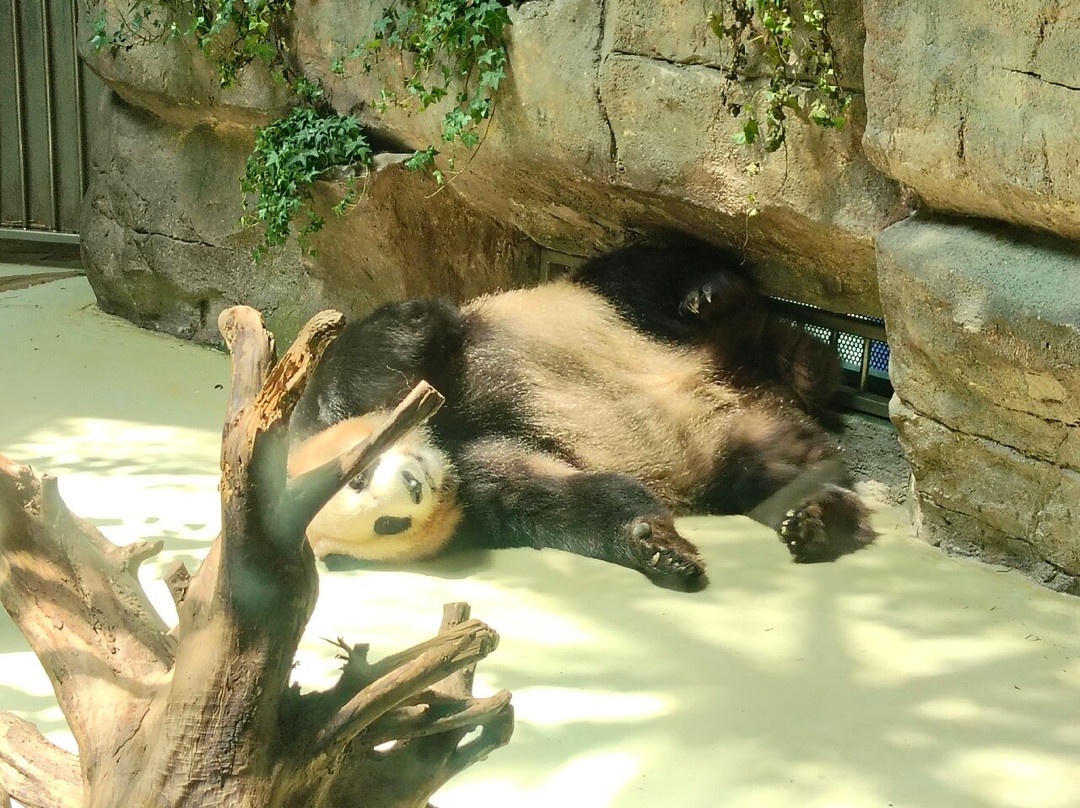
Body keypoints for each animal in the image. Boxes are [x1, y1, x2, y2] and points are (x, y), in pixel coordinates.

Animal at [289, 239, 875, 591]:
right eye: (386, 525)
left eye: (359, 477)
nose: (414, 486)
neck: (445, 441)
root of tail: (754, 375)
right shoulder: (476, 485)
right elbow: (557, 496)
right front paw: (656, 547)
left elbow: (396, 340)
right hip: (742, 436)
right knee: (777, 469)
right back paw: (816, 516)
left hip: (616, 308)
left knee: (650, 273)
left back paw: (716, 300)